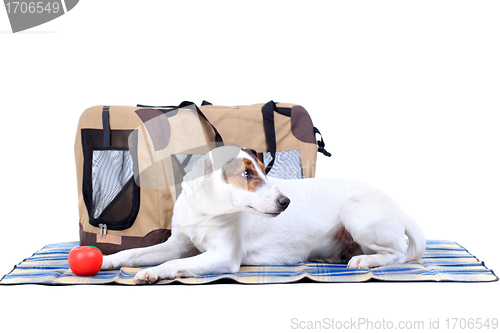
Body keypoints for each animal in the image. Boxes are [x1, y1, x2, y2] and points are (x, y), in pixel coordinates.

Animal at [100, 145, 426, 282]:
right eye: (246, 173)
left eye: (262, 171)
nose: (285, 202)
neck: (206, 209)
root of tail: (399, 206)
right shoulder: (177, 243)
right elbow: (135, 253)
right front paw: (107, 260)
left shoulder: (224, 255)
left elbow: (175, 263)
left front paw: (153, 272)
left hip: (355, 211)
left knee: (398, 255)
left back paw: (364, 260)